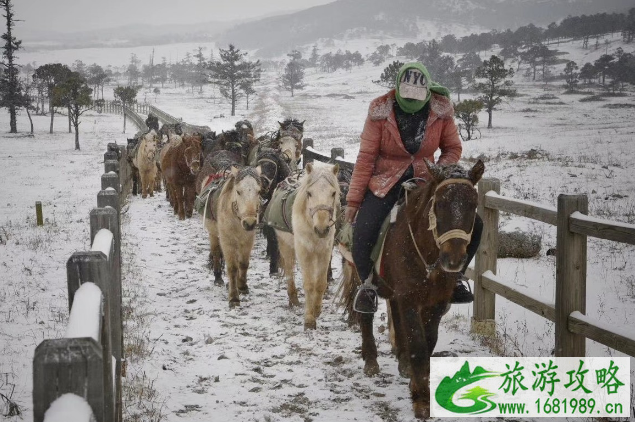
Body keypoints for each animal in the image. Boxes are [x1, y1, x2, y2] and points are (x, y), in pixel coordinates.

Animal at [274, 162, 340, 330]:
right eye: (309, 193)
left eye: (333, 193)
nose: (322, 229)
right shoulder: (305, 252)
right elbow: (309, 284)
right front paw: (309, 319)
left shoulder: (324, 251)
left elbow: (321, 283)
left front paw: (317, 310)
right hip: (286, 245)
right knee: (289, 271)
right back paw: (293, 299)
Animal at [340, 158, 484, 418]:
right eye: (439, 203)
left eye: (473, 204)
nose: (453, 259)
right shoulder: (409, 299)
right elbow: (418, 344)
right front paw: (421, 401)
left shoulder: (435, 303)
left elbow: (428, 342)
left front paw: (416, 381)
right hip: (360, 274)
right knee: (366, 315)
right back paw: (371, 360)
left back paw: (402, 362)